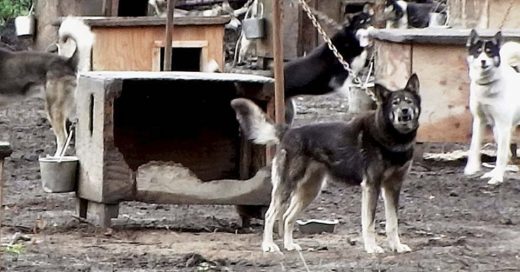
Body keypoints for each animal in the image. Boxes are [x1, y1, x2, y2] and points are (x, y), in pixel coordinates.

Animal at [232, 74, 422, 253]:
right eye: (395, 103)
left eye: (409, 101)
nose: (404, 111)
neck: (392, 137)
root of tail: (287, 131)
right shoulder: (371, 186)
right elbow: (369, 223)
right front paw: (372, 248)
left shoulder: (393, 187)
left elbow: (393, 223)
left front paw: (397, 246)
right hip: (287, 187)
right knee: (270, 215)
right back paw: (268, 246)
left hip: (310, 191)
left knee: (287, 217)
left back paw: (289, 245)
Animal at [466, 29, 520, 185]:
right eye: (478, 52)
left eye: (489, 52)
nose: (483, 61)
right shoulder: (479, 121)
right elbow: (474, 146)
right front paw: (472, 168)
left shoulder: (504, 125)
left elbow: (500, 156)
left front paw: (497, 178)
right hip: (497, 130)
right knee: (508, 154)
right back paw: (491, 173)